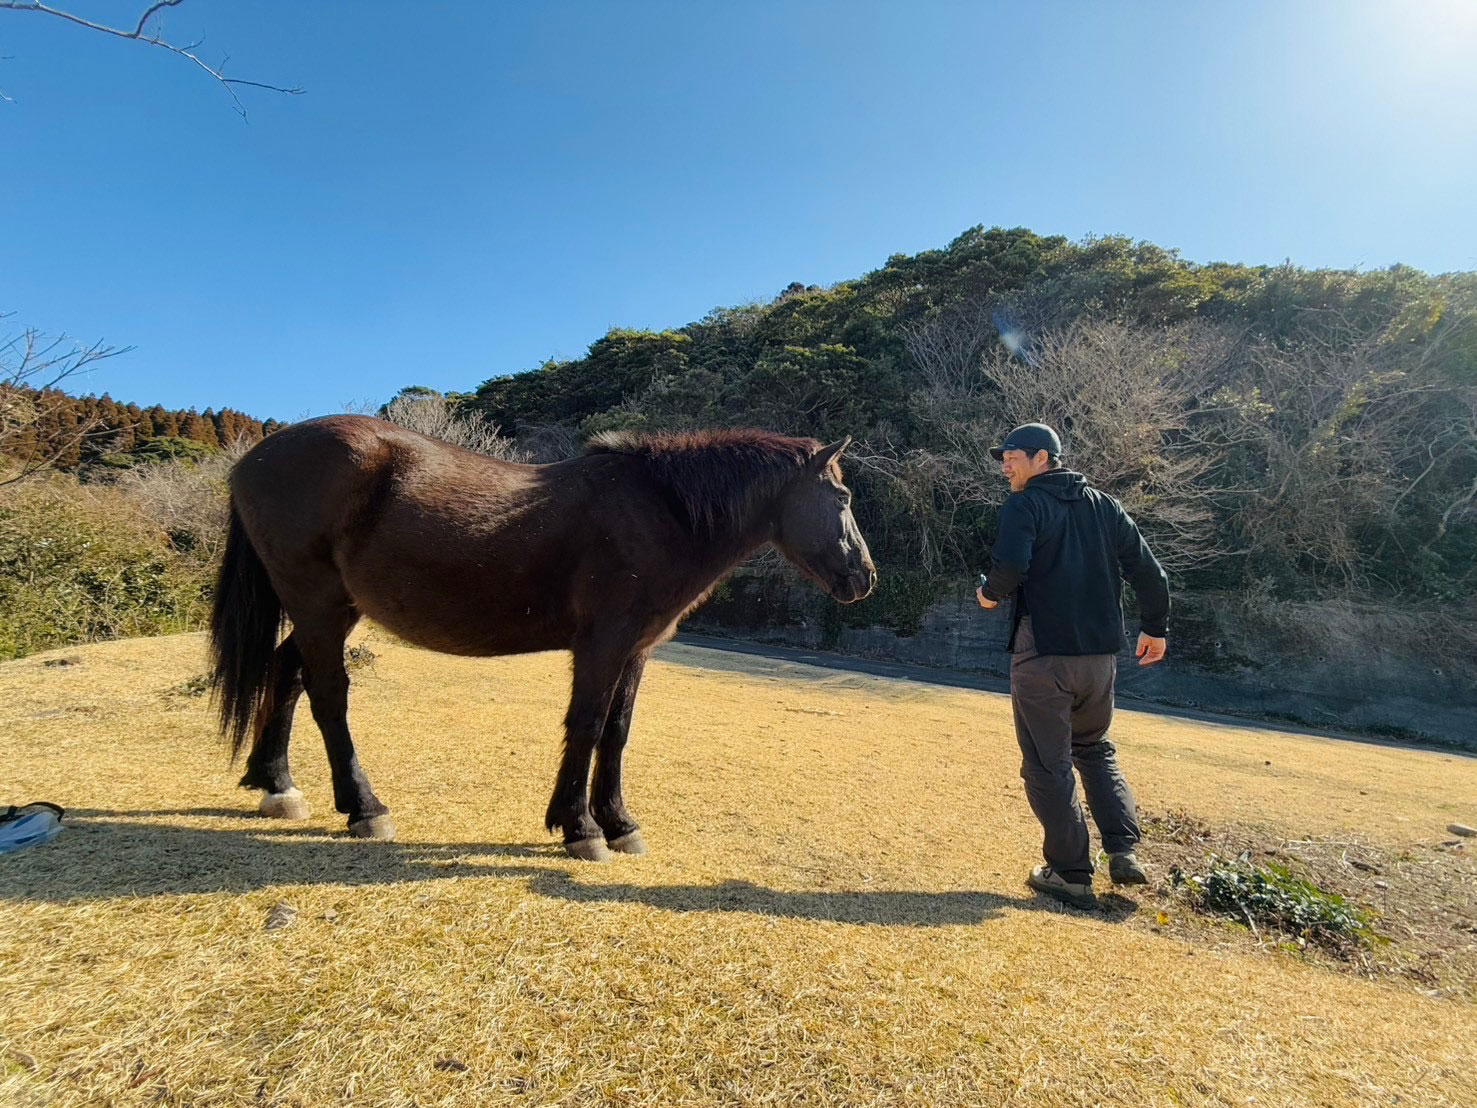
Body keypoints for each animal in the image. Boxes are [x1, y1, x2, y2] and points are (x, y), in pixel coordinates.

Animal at [208, 416, 874, 856]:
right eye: (841, 496)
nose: (865, 576)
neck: (658, 511)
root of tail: (252, 459)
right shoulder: (602, 644)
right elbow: (587, 726)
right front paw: (581, 827)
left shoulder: (636, 650)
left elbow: (617, 732)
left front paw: (619, 822)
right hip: (317, 603)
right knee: (327, 695)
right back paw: (363, 807)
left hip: (332, 610)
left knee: (286, 674)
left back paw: (276, 784)